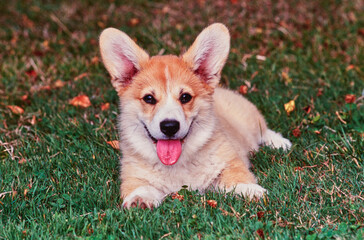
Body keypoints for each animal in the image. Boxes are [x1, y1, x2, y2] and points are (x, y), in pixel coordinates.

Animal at [99, 23, 290, 209]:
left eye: (185, 97)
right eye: (149, 98)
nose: (169, 126)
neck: (177, 164)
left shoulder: (230, 162)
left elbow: (236, 178)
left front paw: (250, 190)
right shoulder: (132, 176)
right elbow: (141, 187)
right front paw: (139, 200)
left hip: (250, 120)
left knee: (263, 131)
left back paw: (280, 143)